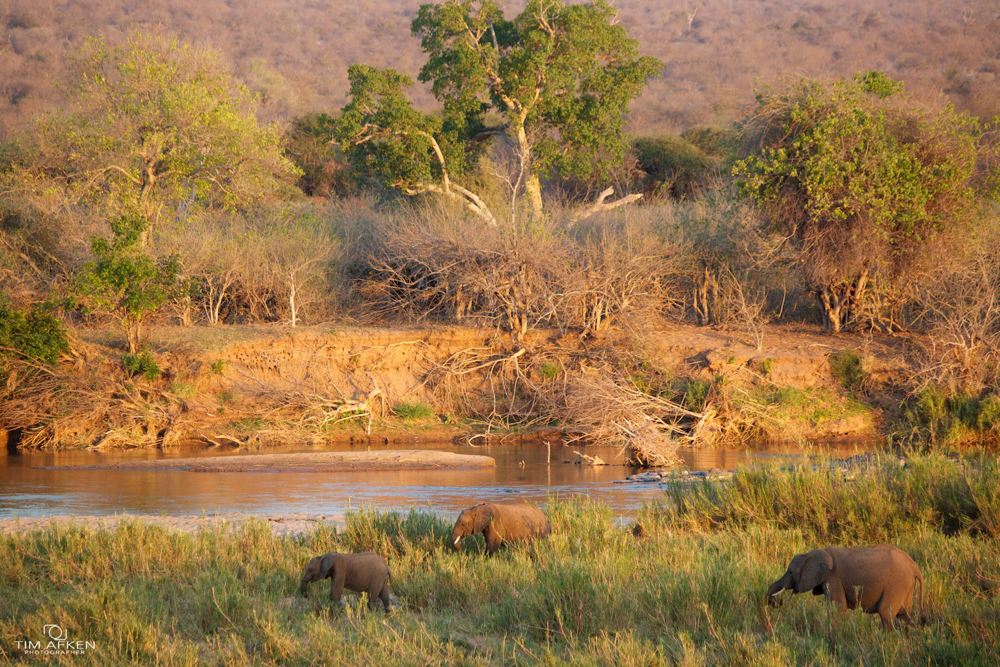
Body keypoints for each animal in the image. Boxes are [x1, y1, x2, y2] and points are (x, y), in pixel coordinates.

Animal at [768, 544, 924, 628]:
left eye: (790, 572)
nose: (777, 602)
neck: (813, 553)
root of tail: (915, 567)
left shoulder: (833, 578)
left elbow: (838, 608)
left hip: (897, 584)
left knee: (886, 612)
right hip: (905, 586)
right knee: (904, 616)